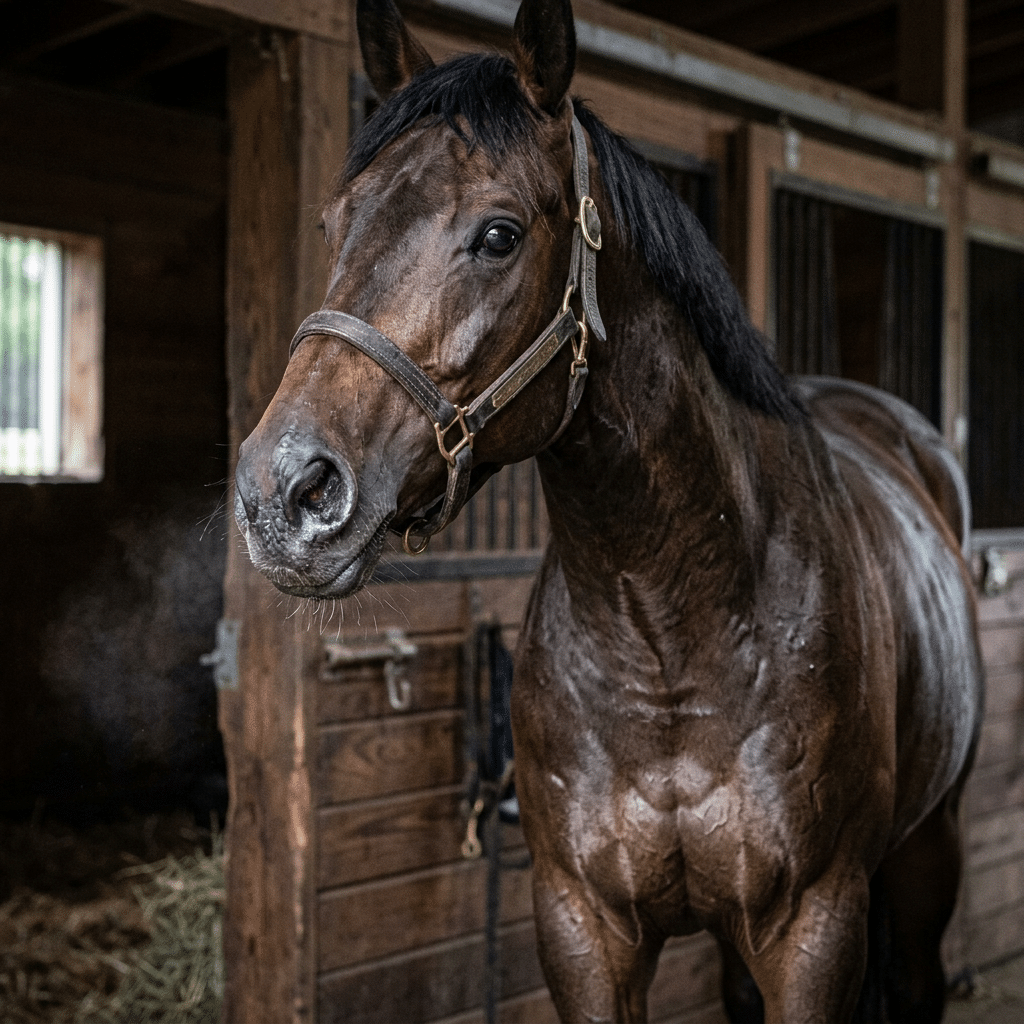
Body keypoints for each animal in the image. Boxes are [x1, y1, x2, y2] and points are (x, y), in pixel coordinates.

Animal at [232, 0, 984, 1020]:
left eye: (499, 235)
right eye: (331, 223)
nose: (284, 493)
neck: (671, 628)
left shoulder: (816, 926)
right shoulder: (581, 924)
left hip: (929, 852)